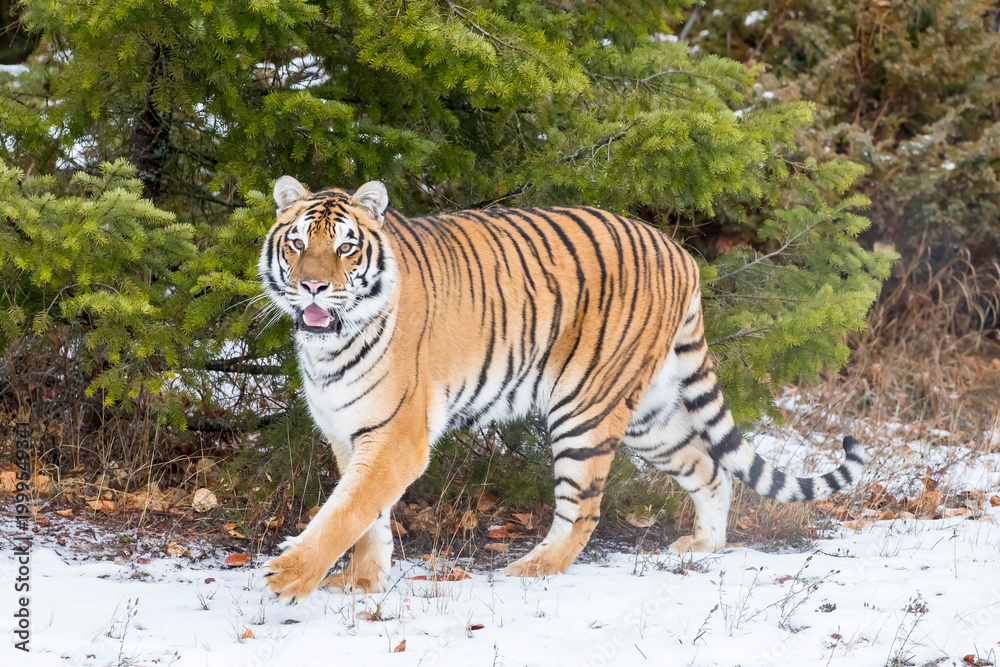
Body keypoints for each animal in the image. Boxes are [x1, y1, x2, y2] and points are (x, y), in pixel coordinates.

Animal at [259, 176, 865, 604]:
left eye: (345, 248)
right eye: (296, 244)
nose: (312, 286)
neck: (327, 347)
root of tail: (681, 254)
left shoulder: (396, 436)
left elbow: (346, 511)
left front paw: (289, 575)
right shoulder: (348, 432)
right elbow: (366, 520)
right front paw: (359, 584)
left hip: (586, 408)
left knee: (585, 509)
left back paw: (532, 568)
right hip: (650, 416)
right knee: (709, 467)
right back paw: (703, 545)